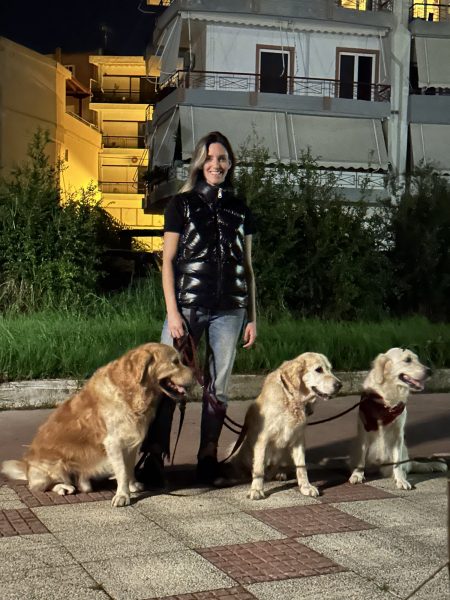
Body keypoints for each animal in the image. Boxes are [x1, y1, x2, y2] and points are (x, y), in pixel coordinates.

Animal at [1, 343, 193, 507]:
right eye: (175, 362)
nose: (196, 376)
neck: (132, 391)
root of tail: (27, 467)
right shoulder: (114, 442)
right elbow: (122, 471)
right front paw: (122, 495)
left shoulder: (131, 440)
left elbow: (129, 467)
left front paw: (132, 486)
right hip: (54, 465)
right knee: (39, 486)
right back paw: (64, 487)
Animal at [226, 352, 342, 500]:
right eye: (319, 370)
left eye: (330, 369)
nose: (340, 385)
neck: (291, 398)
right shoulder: (262, 439)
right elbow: (258, 468)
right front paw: (256, 489)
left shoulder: (298, 440)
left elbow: (301, 467)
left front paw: (306, 487)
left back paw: (280, 473)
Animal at [349, 347, 447, 490]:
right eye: (407, 360)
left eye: (417, 359)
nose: (430, 371)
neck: (388, 399)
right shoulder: (364, 429)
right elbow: (361, 459)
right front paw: (357, 475)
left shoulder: (398, 434)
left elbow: (398, 463)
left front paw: (400, 480)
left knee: (407, 466)